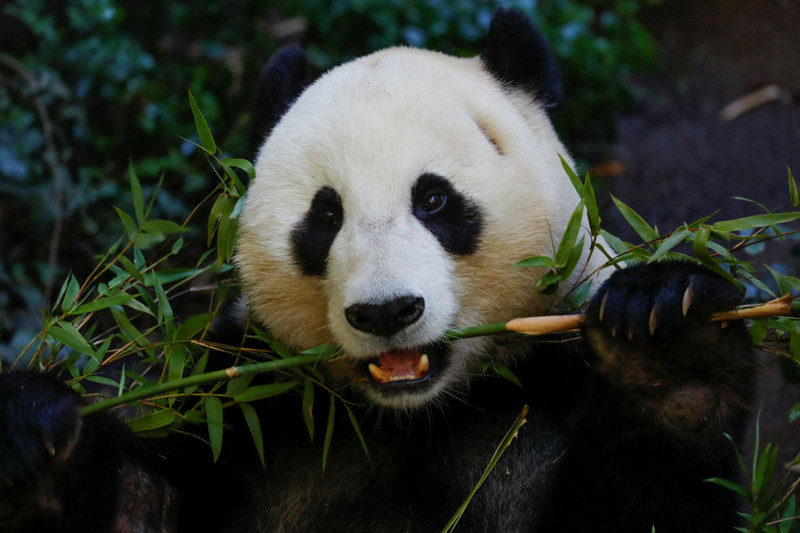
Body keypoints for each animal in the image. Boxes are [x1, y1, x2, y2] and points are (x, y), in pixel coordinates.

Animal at [0, 8, 756, 532]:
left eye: (434, 199)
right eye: (325, 215)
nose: (387, 312)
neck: (416, 416)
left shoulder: (550, 379)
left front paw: (665, 347)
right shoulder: (253, 403)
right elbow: (145, 504)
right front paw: (36, 435)